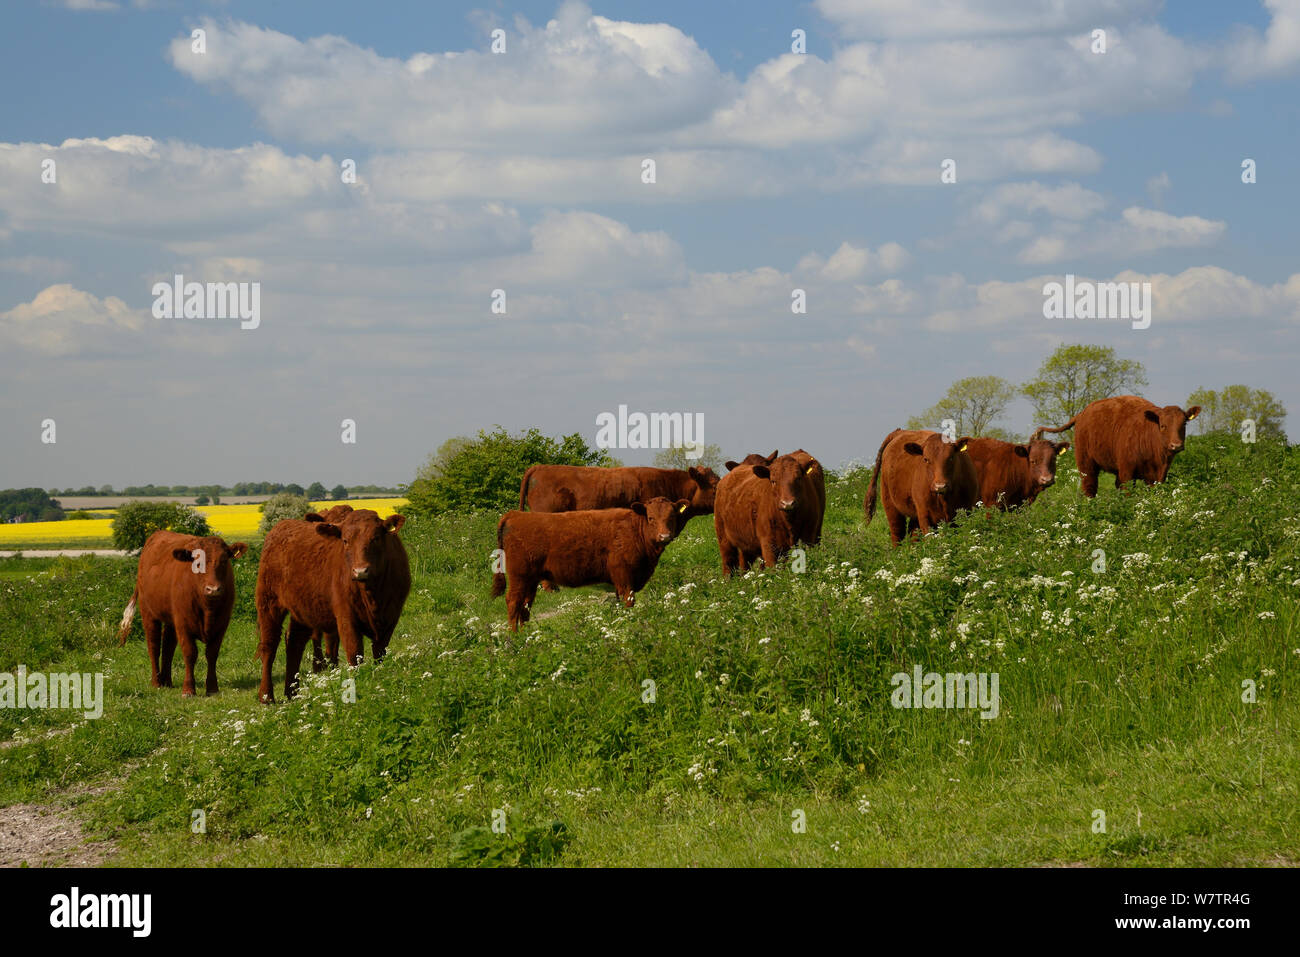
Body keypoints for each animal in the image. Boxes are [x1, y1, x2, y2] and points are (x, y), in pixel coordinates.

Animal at [117, 531, 249, 696]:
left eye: (224, 560)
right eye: (197, 563)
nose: (213, 589)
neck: (208, 609)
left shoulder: (222, 624)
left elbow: (212, 654)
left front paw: (212, 688)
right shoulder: (183, 623)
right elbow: (190, 653)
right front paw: (188, 690)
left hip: (171, 619)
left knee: (168, 646)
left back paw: (167, 681)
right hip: (148, 613)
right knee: (154, 646)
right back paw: (156, 682)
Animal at [255, 508, 410, 702]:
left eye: (375, 538)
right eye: (345, 540)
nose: (360, 571)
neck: (373, 595)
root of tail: (282, 525)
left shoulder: (390, 618)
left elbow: (380, 653)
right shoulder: (346, 618)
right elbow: (355, 654)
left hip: (303, 609)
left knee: (295, 642)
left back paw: (292, 693)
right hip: (268, 603)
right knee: (269, 647)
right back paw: (267, 697)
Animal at [491, 497, 689, 631]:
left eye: (671, 516)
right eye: (651, 518)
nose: (664, 536)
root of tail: (515, 515)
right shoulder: (624, 575)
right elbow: (628, 601)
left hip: (531, 579)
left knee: (525, 605)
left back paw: (526, 635)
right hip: (519, 575)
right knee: (513, 602)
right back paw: (514, 636)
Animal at [1035, 396, 1201, 498]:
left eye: (1184, 424)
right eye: (1163, 425)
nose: (1176, 445)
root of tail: (1083, 413)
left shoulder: (1156, 477)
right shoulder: (1127, 472)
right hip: (1086, 464)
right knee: (1090, 488)